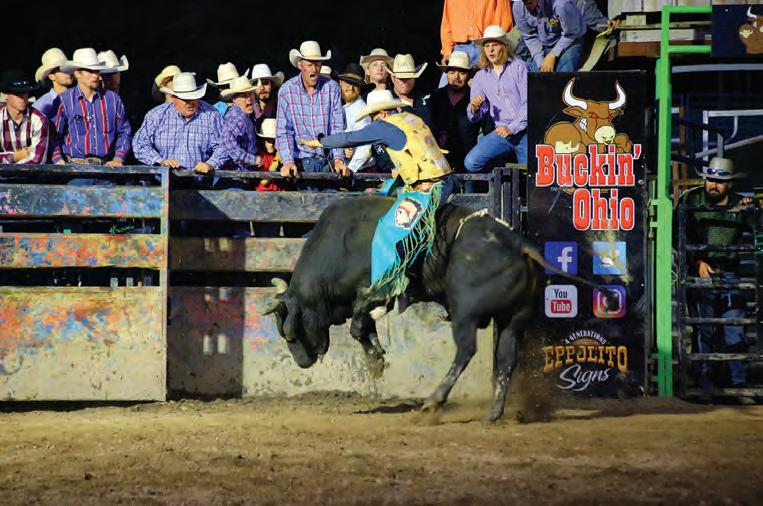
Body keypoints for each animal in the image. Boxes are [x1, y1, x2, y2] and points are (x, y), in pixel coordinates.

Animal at [261, 195, 563, 421]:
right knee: (506, 360)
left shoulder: (375, 289)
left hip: (466, 314)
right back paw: (492, 414)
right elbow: (364, 326)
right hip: (512, 319)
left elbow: (358, 326)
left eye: (292, 333)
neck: (341, 244)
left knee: (466, 351)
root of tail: (518, 244)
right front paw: (376, 357)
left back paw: (433, 401)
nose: (303, 362)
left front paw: (374, 361)